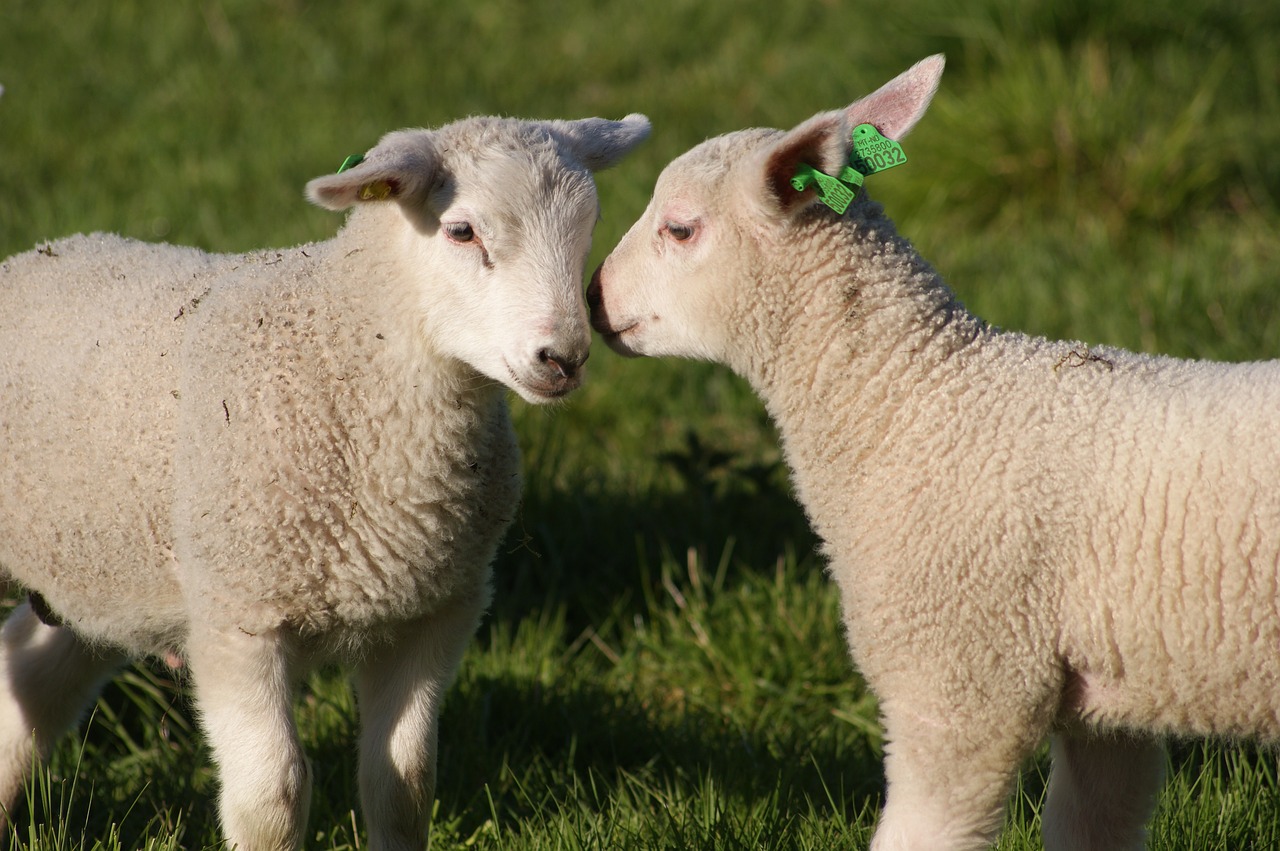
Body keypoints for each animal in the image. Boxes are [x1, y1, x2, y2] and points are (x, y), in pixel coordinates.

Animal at [2, 112, 650, 849]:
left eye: (588, 227)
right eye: (462, 231)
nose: (563, 359)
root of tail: (42, 252)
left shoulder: (433, 613)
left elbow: (404, 783)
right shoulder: (236, 617)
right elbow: (272, 796)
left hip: (99, 570)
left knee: (31, 670)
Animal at [586, 54, 1280, 849]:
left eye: (679, 228)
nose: (591, 298)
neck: (914, 401)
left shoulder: (960, 681)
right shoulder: (1111, 704)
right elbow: (1095, 821)